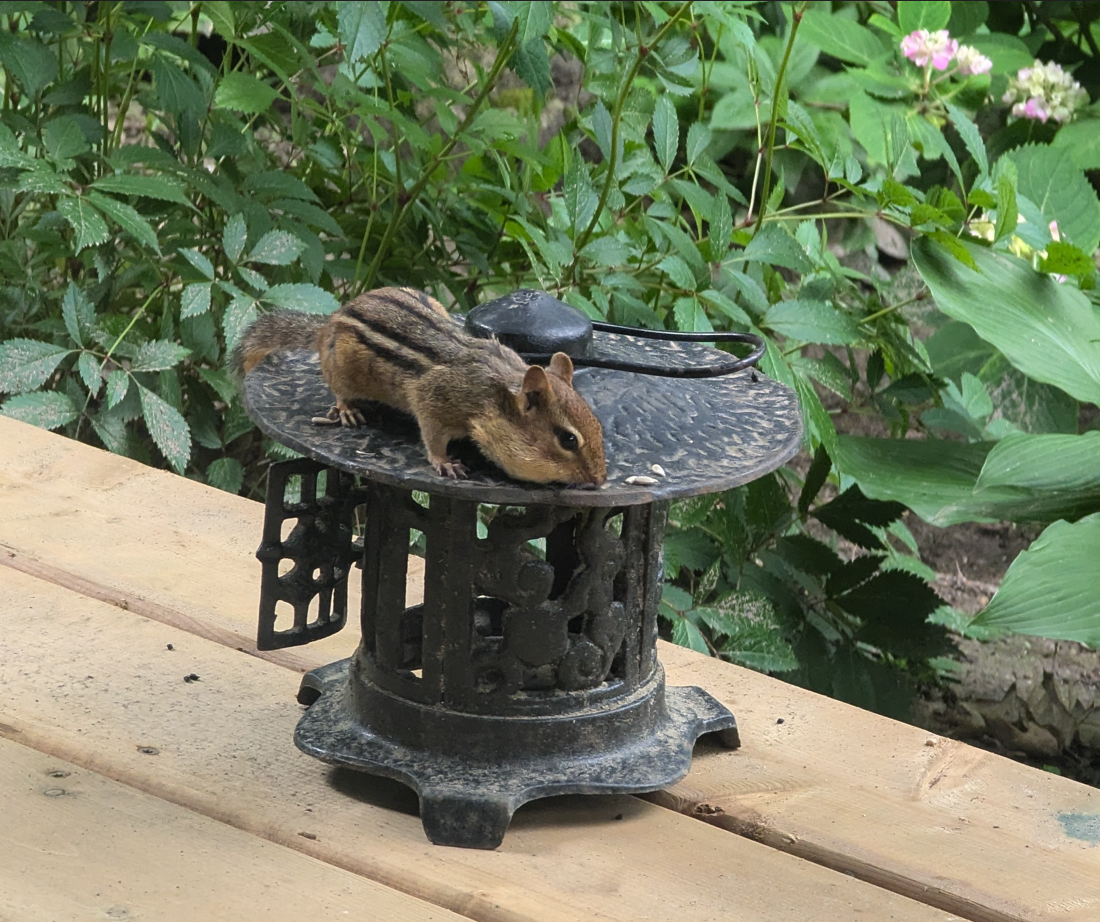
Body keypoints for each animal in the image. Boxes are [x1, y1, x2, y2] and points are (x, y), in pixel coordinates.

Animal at [232, 286, 607, 486]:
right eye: (568, 440)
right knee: (338, 389)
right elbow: (432, 434)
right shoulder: (434, 400)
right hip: (340, 368)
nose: (600, 479)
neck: (495, 393)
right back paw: (347, 408)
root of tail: (331, 321)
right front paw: (445, 462)